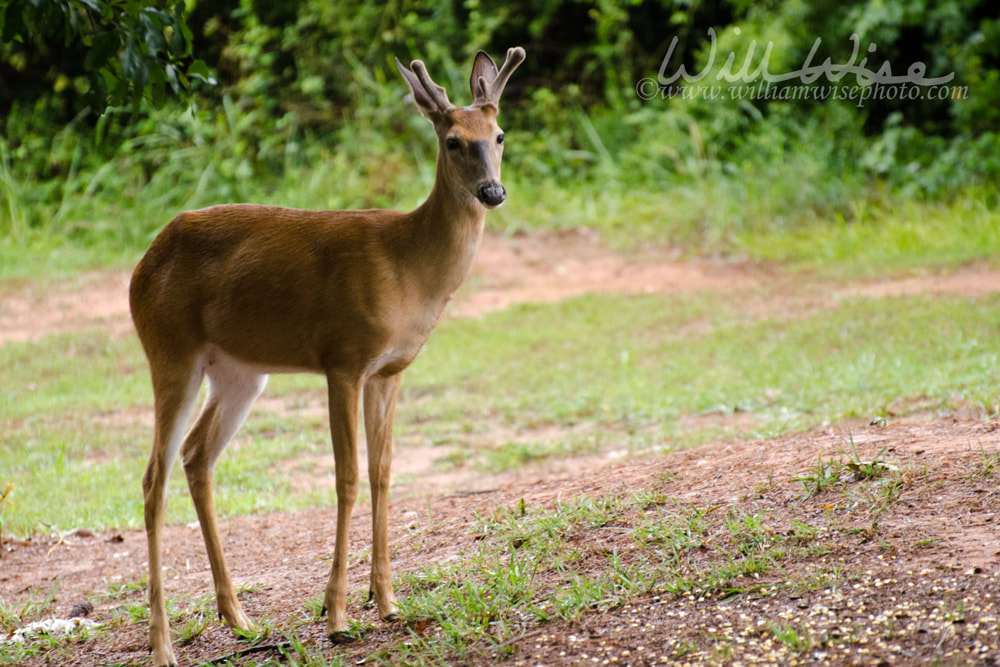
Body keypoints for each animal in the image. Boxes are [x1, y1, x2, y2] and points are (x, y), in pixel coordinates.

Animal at [127, 48, 524, 667]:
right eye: (454, 140)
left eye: (499, 135)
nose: (492, 192)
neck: (410, 267)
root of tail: (140, 266)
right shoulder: (344, 358)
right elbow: (347, 478)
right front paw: (337, 616)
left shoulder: (390, 370)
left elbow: (383, 472)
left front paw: (387, 602)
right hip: (170, 352)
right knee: (153, 478)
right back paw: (163, 644)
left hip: (239, 374)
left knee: (196, 457)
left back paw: (238, 617)